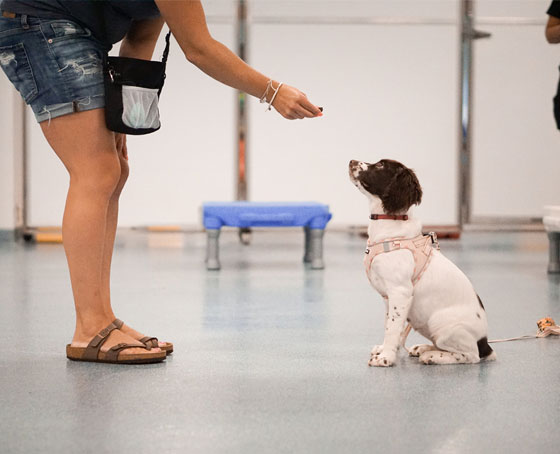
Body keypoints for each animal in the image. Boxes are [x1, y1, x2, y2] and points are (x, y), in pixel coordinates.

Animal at [348, 159, 496, 366]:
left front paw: (386, 358)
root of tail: (485, 343)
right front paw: (385, 349)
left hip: (441, 323)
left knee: (470, 355)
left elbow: (392, 328)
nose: (351, 161)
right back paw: (424, 348)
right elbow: (390, 326)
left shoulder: (400, 292)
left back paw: (432, 356)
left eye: (380, 166)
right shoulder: (388, 297)